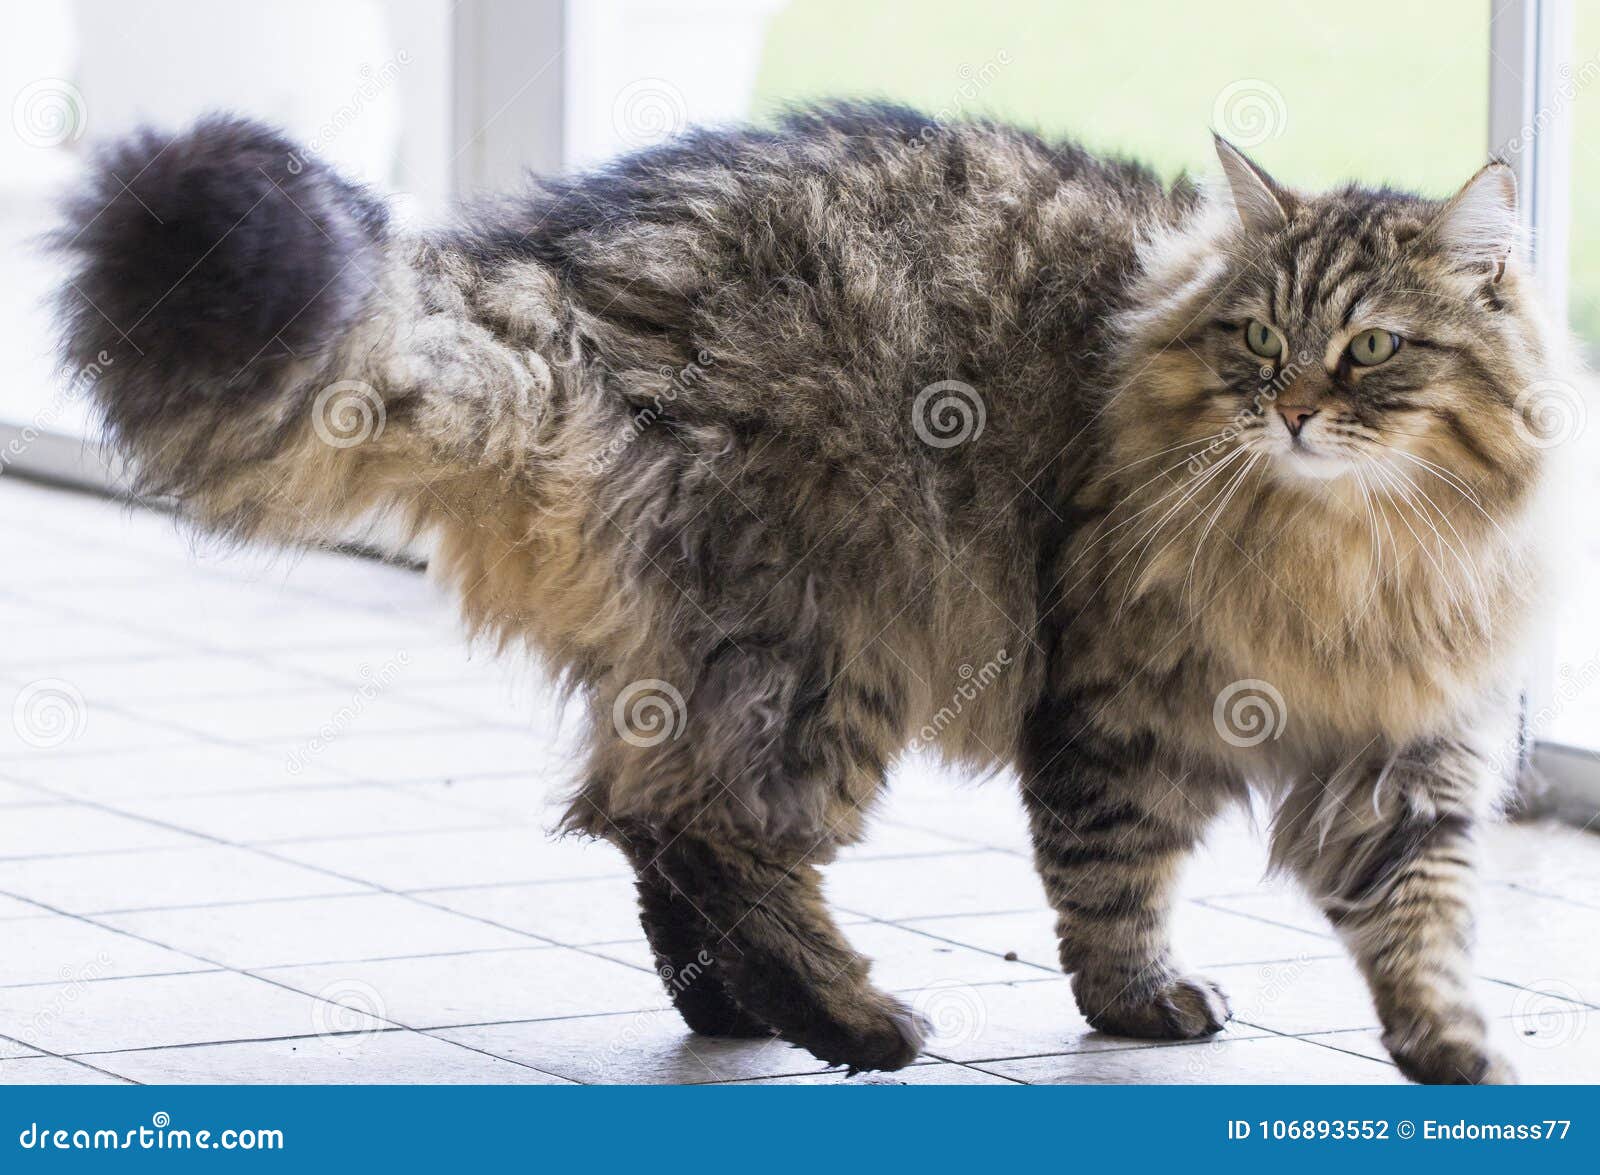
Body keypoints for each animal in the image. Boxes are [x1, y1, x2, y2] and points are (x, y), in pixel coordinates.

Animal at [56, 103, 1568, 1088]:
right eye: (1257, 338)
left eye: (1370, 351)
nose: (1293, 408)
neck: (1353, 551)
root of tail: (559, 278)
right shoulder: (1115, 709)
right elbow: (1113, 877)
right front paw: (1137, 1000)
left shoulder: (1414, 742)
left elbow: (1422, 904)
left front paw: (1453, 1042)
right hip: (836, 639)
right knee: (708, 830)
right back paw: (853, 1020)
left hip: (718, 654)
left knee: (644, 820)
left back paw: (732, 1005)